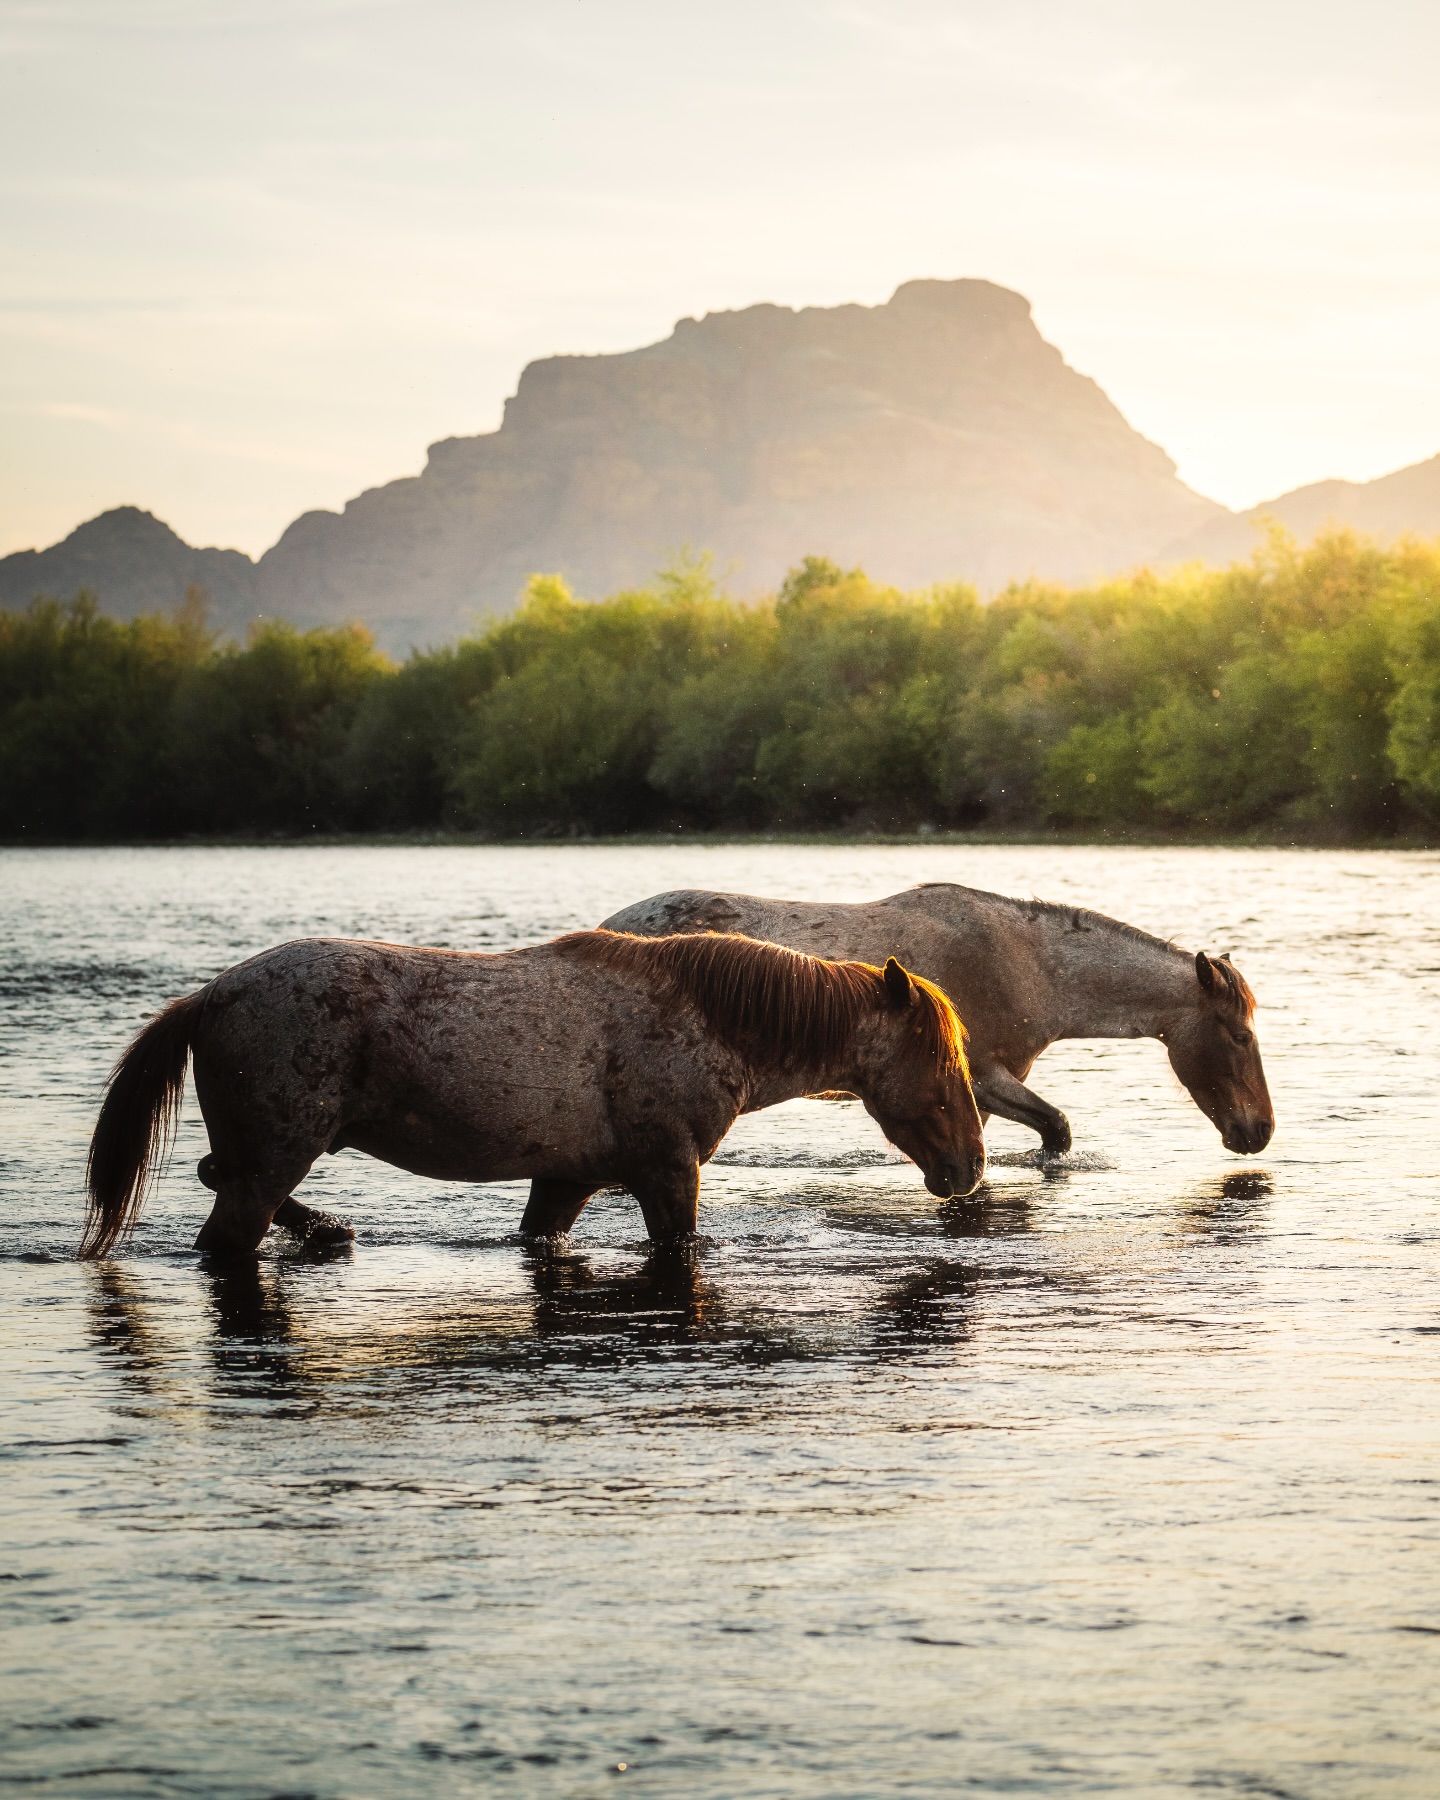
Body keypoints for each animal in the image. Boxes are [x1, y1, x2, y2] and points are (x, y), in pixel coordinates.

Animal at [79, 929, 986, 1260]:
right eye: (944, 1062)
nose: (971, 1167)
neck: (708, 1018)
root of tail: (209, 997)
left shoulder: (567, 1180)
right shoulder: (669, 1174)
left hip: (266, 1154)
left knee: (220, 1180)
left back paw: (330, 1229)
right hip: (278, 1155)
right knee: (226, 1230)